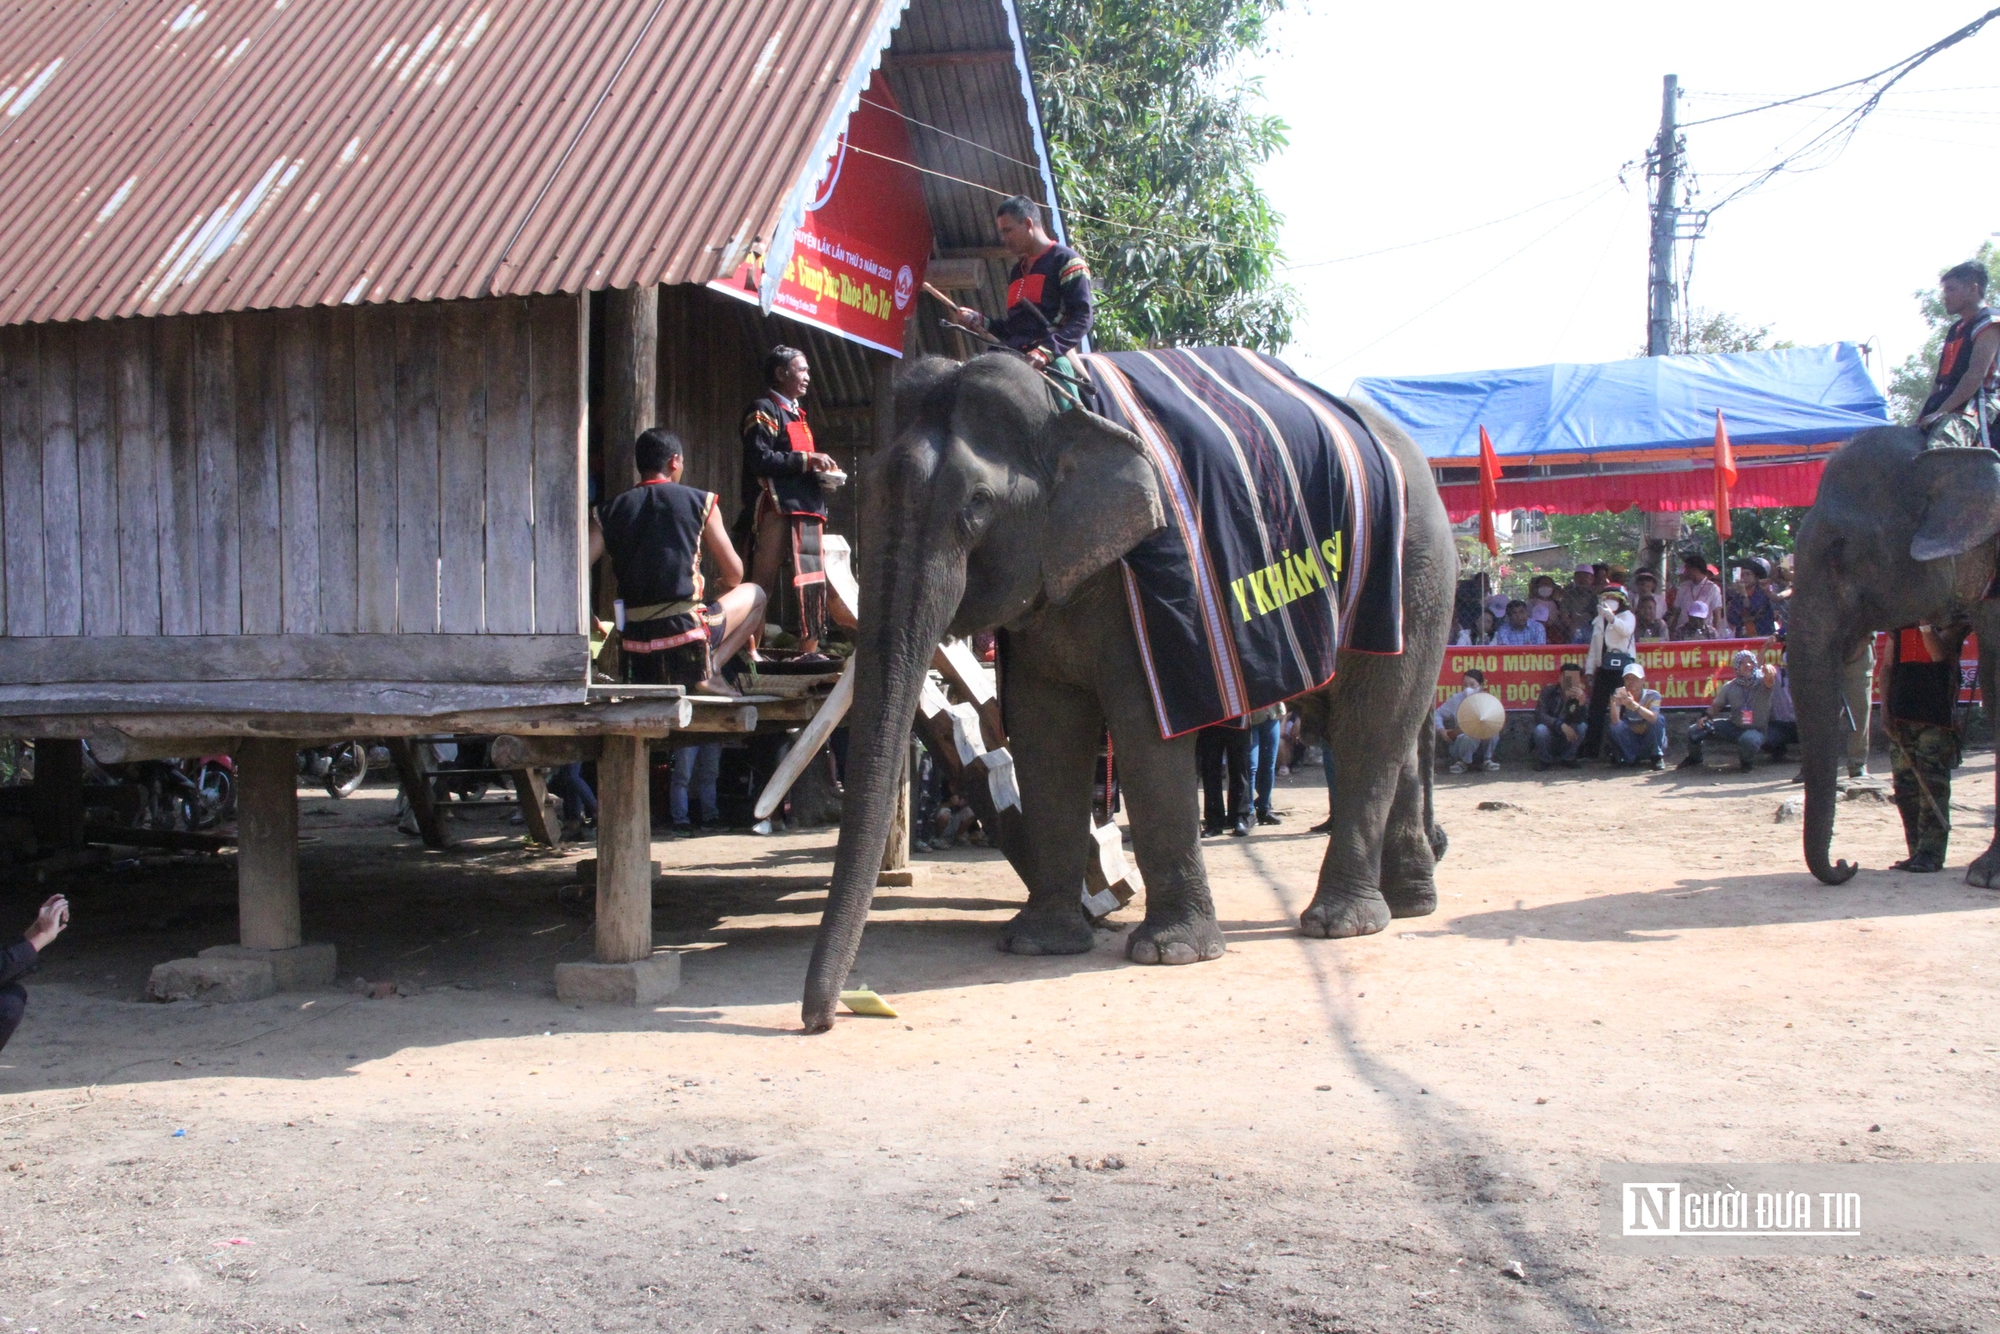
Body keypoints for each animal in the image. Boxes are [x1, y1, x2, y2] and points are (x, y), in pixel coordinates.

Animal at [796, 352, 1456, 1032]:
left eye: (978, 504)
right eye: (866, 490)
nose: (823, 1019)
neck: (1063, 411)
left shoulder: (1158, 582)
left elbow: (1144, 732)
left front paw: (1171, 955)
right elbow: (1045, 733)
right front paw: (1036, 944)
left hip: (1414, 572)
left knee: (1370, 727)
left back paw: (1339, 925)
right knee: (1372, 726)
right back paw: (1409, 904)